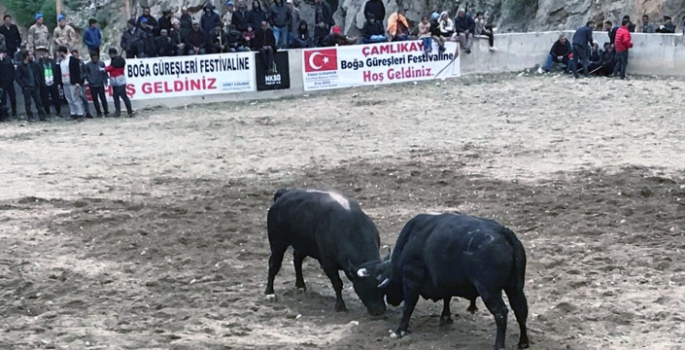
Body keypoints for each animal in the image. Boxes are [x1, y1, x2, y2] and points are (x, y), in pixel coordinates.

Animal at [264, 187, 388, 316]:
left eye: (383, 288)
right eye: (364, 288)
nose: (379, 311)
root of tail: (284, 193)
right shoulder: (328, 264)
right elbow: (337, 284)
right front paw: (340, 306)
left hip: (303, 245)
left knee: (297, 259)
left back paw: (300, 286)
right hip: (278, 243)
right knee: (274, 265)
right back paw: (269, 293)